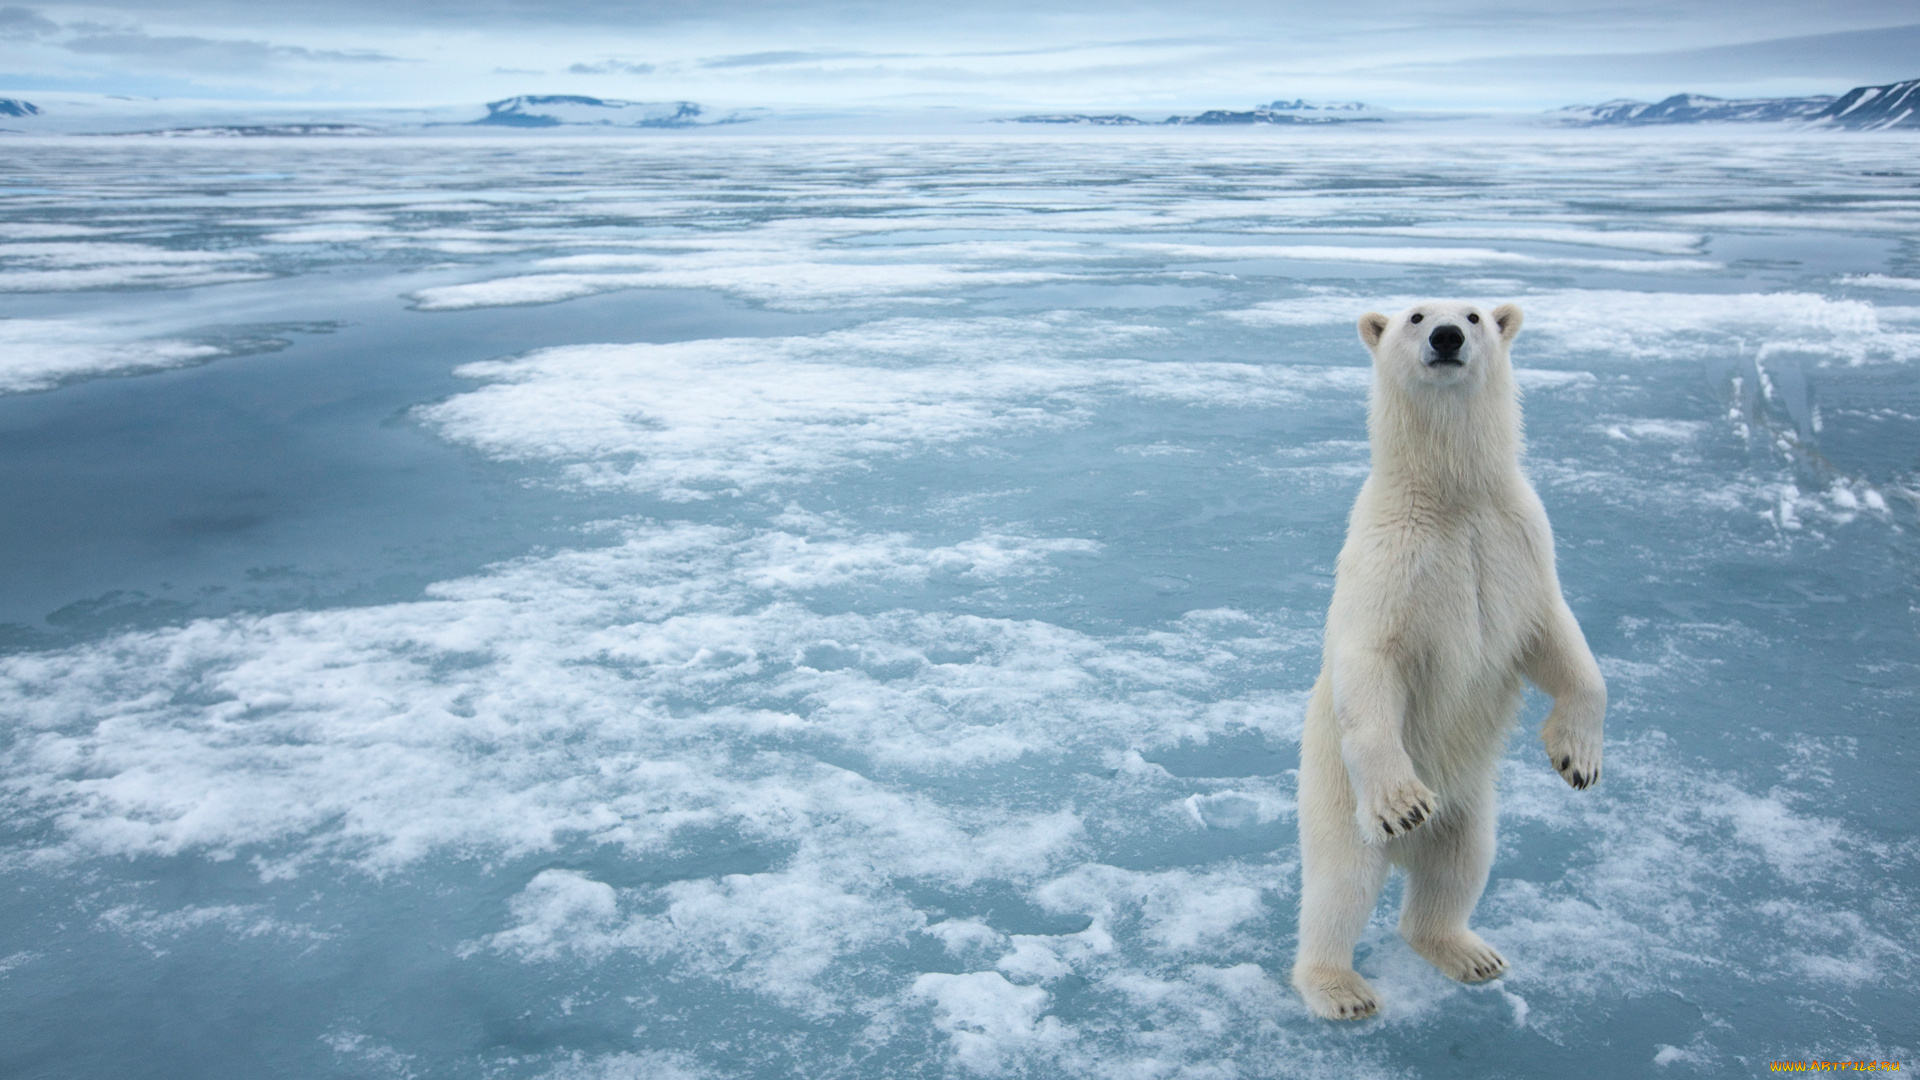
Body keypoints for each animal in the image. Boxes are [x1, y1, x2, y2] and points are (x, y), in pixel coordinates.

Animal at [1290, 299, 1605, 1014]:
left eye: (1476, 313)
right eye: (1414, 315)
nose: (1447, 336)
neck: (1453, 497)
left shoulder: (1519, 542)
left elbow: (1557, 641)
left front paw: (1577, 759)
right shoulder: (1390, 560)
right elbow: (1371, 663)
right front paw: (1404, 803)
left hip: (1471, 803)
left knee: (1461, 866)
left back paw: (1468, 951)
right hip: (1334, 794)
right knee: (1341, 884)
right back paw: (1340, 988)